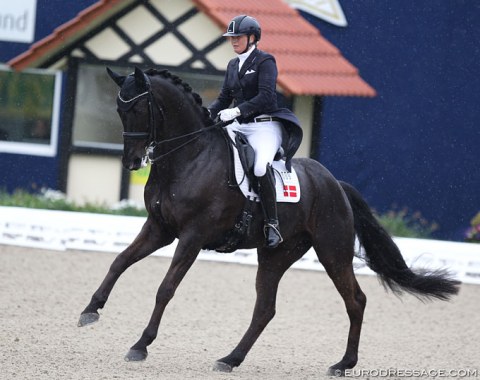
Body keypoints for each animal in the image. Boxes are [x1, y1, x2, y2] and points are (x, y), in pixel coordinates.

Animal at [79, 67, 462, 376]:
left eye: (139, 109)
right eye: (119, 110)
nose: (132, 162)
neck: (189, 157)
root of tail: (334, 183)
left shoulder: (192, 236)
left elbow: (165, 288)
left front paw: (140, 345)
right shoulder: (159, 229)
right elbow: (119, 261)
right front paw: (90, 311)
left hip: (332, 251)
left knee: (355, 300)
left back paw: (343, 364)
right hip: (276, 254)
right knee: (265, 308)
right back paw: (230, 359)